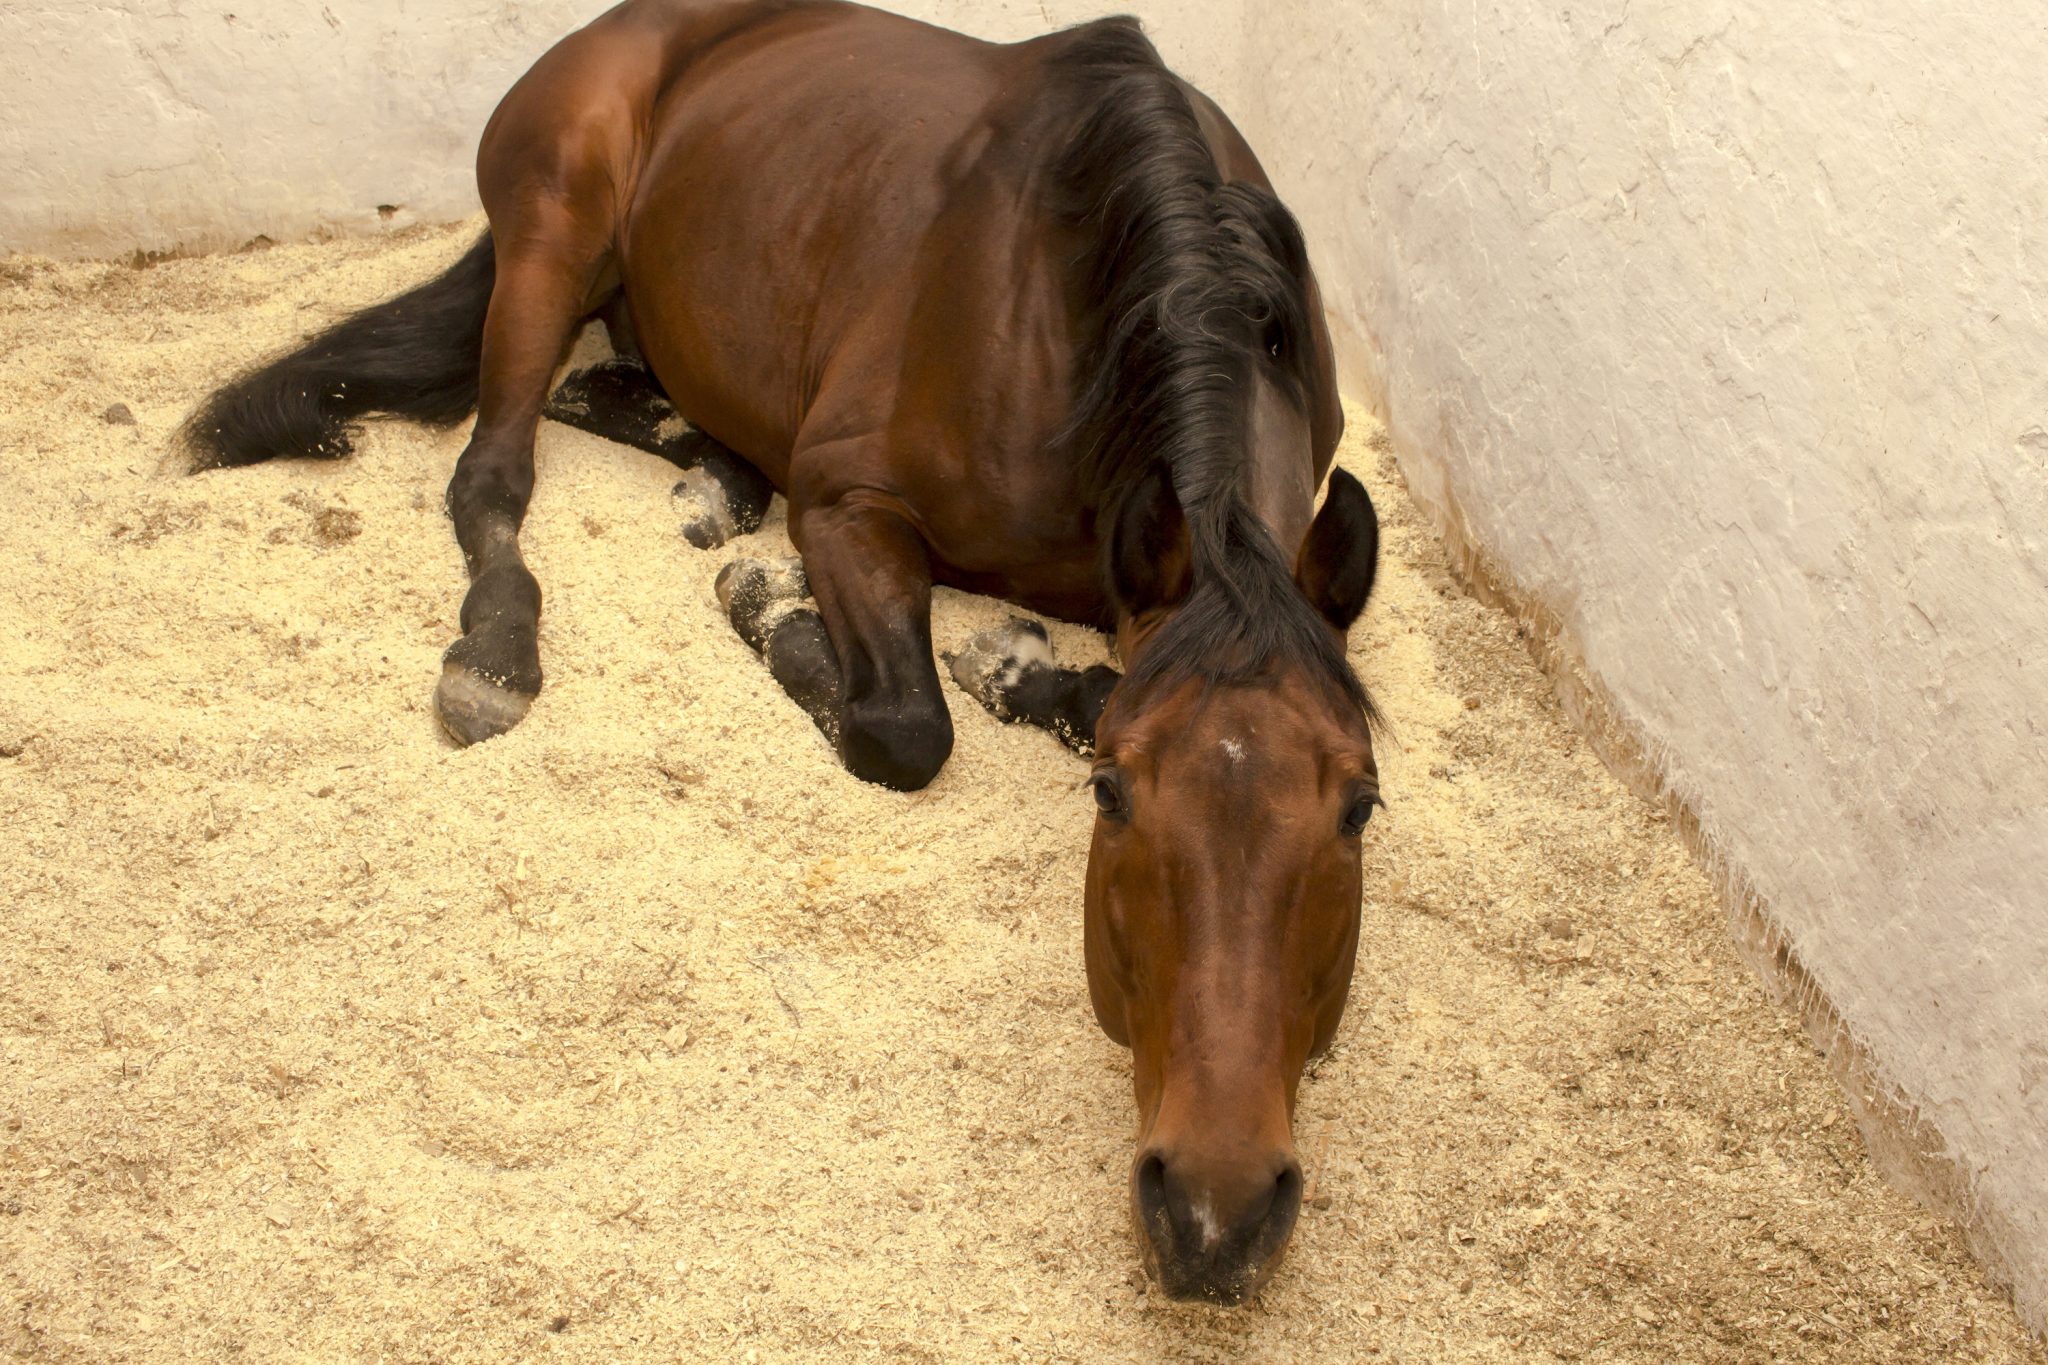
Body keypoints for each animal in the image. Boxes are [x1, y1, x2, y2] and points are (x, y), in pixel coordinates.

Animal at [186, 0, 1385, 1305]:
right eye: (1111, 798)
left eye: (1358, 807)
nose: (1215, 1212)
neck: (1081, 317)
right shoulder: (848, 499)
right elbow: (904, 728)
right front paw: (792, 612)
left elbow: (1083, 676)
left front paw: (1012, 661)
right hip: (555, 238)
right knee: (494, 467)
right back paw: (497, 649)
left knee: (612, 393)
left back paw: (714, 479)